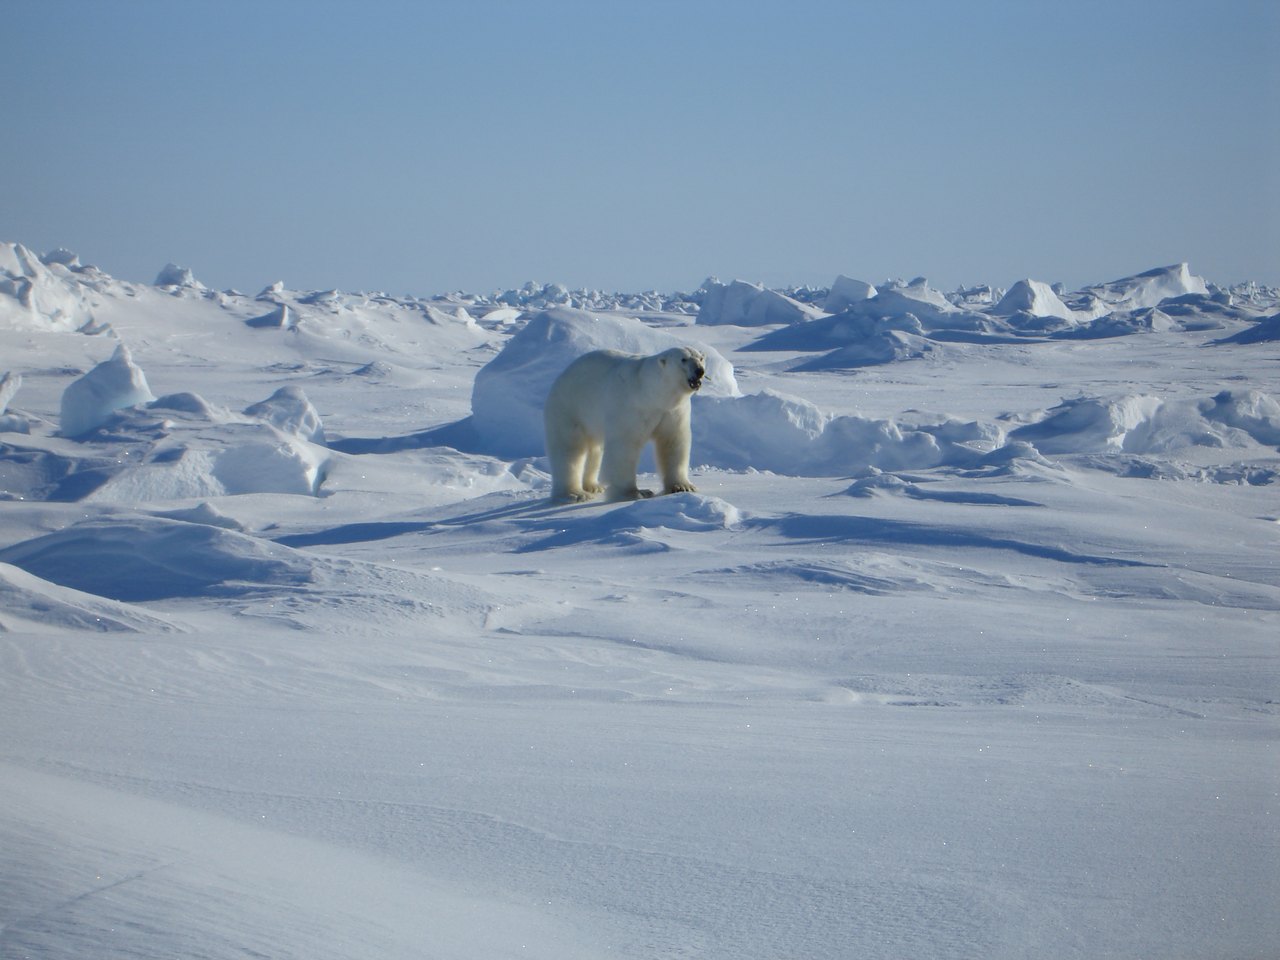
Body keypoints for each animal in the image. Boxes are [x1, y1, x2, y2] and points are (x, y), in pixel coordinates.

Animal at [544, 346, 706, 502]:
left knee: (595, 450)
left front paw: (682, 486)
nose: (700, 371)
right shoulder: (629, 407)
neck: (650, 393)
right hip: (570, 408)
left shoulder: (673, 412)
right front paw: (633, 493)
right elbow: (624, 447)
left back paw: (594, 486)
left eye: (701, 358)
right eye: (683, 359)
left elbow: (673, 442)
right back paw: (575, 494)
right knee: (569, 450)